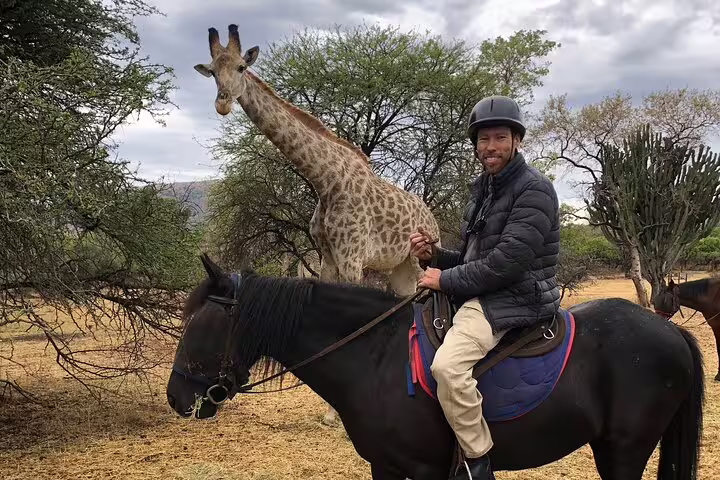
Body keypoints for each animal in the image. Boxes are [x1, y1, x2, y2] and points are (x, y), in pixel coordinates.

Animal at [167, 255, 704, 480]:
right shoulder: (384, 467)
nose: (176, 396)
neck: (375, 357)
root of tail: (670, 332)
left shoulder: (424, 470)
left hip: (624, 450)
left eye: (200, 325)